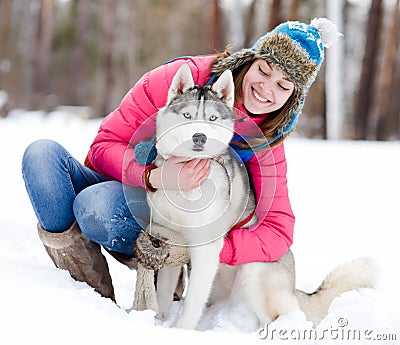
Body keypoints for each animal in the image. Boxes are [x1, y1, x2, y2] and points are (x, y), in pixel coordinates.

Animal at [148, 63, 376, 330]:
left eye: (212, 119)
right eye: (187, 116)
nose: (199, 136)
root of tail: (293, 286)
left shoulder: (205, 248)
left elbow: (193, 300)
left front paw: (181, 330)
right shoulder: (169, 240)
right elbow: (163, 291)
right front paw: (158, 322)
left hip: (254, 275)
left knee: (277, 316)